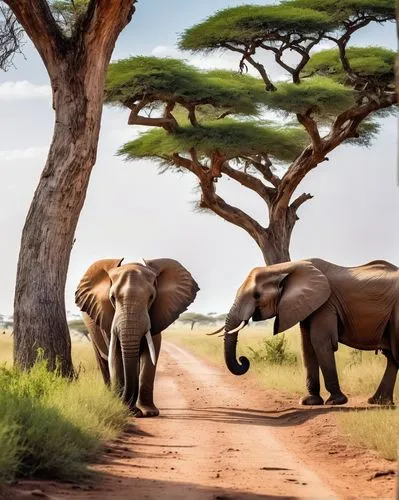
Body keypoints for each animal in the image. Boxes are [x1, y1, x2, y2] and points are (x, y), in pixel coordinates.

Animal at [75, 256, 200, 416]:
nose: (124, 404)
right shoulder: (107, 317)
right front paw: (123, 408)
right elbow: (116, 355)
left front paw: (149, 413)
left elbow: (151, 353)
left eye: (151, 297)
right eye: (112, 298)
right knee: (103, 362)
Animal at [219, 258, 399, 406]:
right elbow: (306, 345)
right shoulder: (307, 305)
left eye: (256, 295)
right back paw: (379, 402)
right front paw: (309, 402)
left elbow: (319, 341)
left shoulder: (325, 303)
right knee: (392, 358)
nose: (243, 360)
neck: (285, 268)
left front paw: (335, 402)